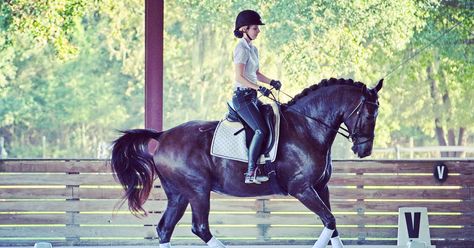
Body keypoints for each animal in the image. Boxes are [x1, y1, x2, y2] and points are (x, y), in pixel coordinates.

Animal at [112, 78, 386, 248]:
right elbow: (329, 221)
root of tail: (163, 135)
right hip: (197, 190)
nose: (364, 150)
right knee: (200, 228)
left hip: (179, 194)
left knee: (164, 229)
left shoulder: (321, 187)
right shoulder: (302, 189)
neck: (307, 126)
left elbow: (332, 225)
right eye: (368, 114)